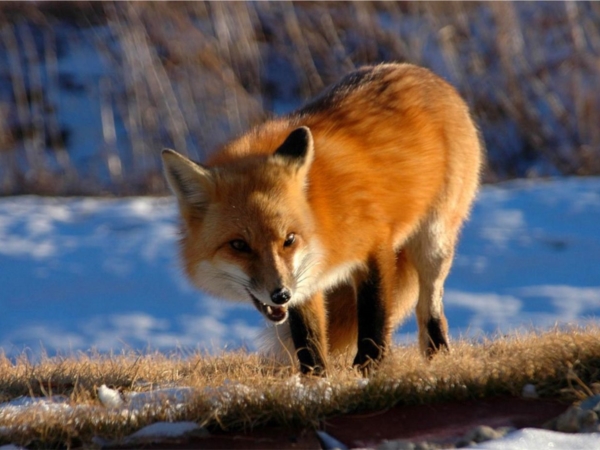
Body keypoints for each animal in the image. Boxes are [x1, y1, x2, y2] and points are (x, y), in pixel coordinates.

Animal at [163, 61, 482, 374]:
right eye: (239, 245)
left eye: (289, 239)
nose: (280, 295)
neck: (320, 216)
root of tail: (423, 72)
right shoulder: (305, 278)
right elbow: (309, 338)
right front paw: (316, 379)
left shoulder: (375, 247)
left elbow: (374, 317)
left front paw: (369, 369)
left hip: (433, 243)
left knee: (429, 306)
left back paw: (437, 353)